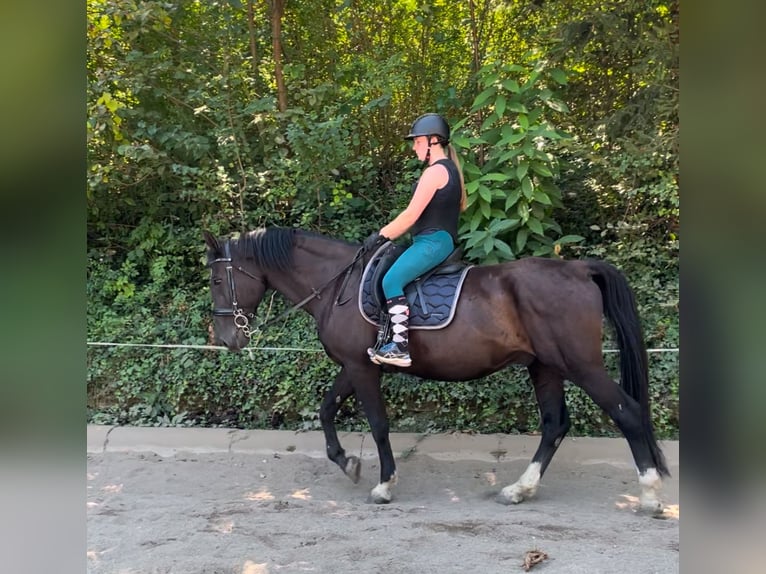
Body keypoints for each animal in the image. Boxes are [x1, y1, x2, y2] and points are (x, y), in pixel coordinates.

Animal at [204, 227, 672, 510]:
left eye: (215, 280)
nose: (227, 338)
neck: (338, 285)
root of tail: (578, 268)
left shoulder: (362, 368)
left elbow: (377, 424)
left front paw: (384, 484)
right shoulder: (353, 366)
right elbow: (326, 409)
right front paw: (346, 462)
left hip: (580, 364)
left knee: (627, 412)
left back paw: (650, 495)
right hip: (546, 367)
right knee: (555, 424)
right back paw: (519, 489)